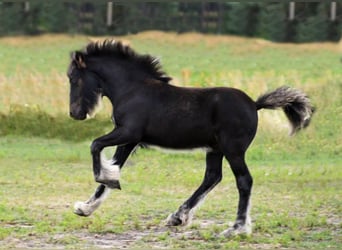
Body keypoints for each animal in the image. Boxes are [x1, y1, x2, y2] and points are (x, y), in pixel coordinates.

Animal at [65, 39, 314, 236]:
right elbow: (114, 163)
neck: (132, 89)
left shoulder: (128, 132)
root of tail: (254, 104)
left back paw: (236, 228)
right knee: (212, 177)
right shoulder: (130, 139)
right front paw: (87, 206)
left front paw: (106, 179)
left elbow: (95, 145)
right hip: (215, 149)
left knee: (243, 180)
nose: (75, 113)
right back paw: (178, 217)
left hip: (233, 150)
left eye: (73, 78)